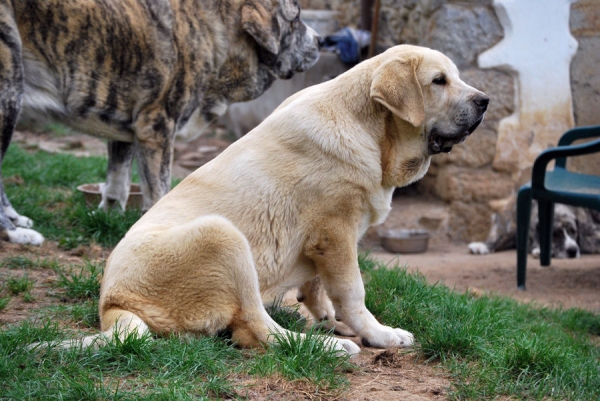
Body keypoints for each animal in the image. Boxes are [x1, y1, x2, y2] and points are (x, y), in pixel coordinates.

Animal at [0, 0, 324, 244]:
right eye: (295, 19)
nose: (322, 40)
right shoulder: (156, 128)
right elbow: (159, 193)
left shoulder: (127, 130)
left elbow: (116, 184)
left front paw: (109, 217)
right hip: (9, 96)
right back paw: (14, 234)